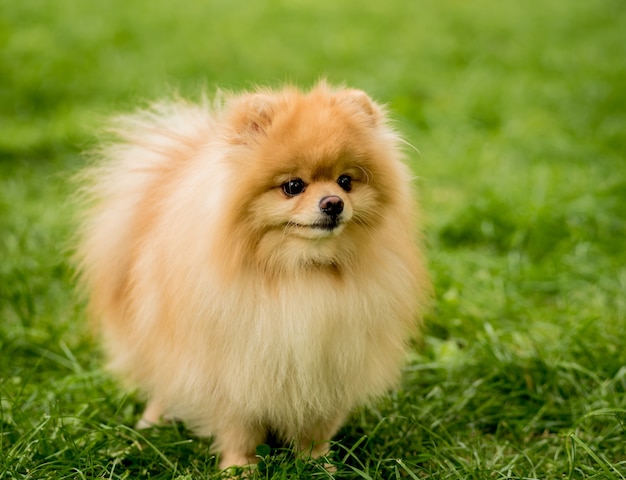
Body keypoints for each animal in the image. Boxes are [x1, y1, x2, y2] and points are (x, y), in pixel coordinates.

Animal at [73, 81, 426, 468]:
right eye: (293, 186)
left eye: (346, 181)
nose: (333, 203)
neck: (301, 271)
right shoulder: (233, 369)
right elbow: (238, 429)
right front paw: (238, 468)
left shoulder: (329, 366)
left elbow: (316, 428)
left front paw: (318, 463)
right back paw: (151, 424)